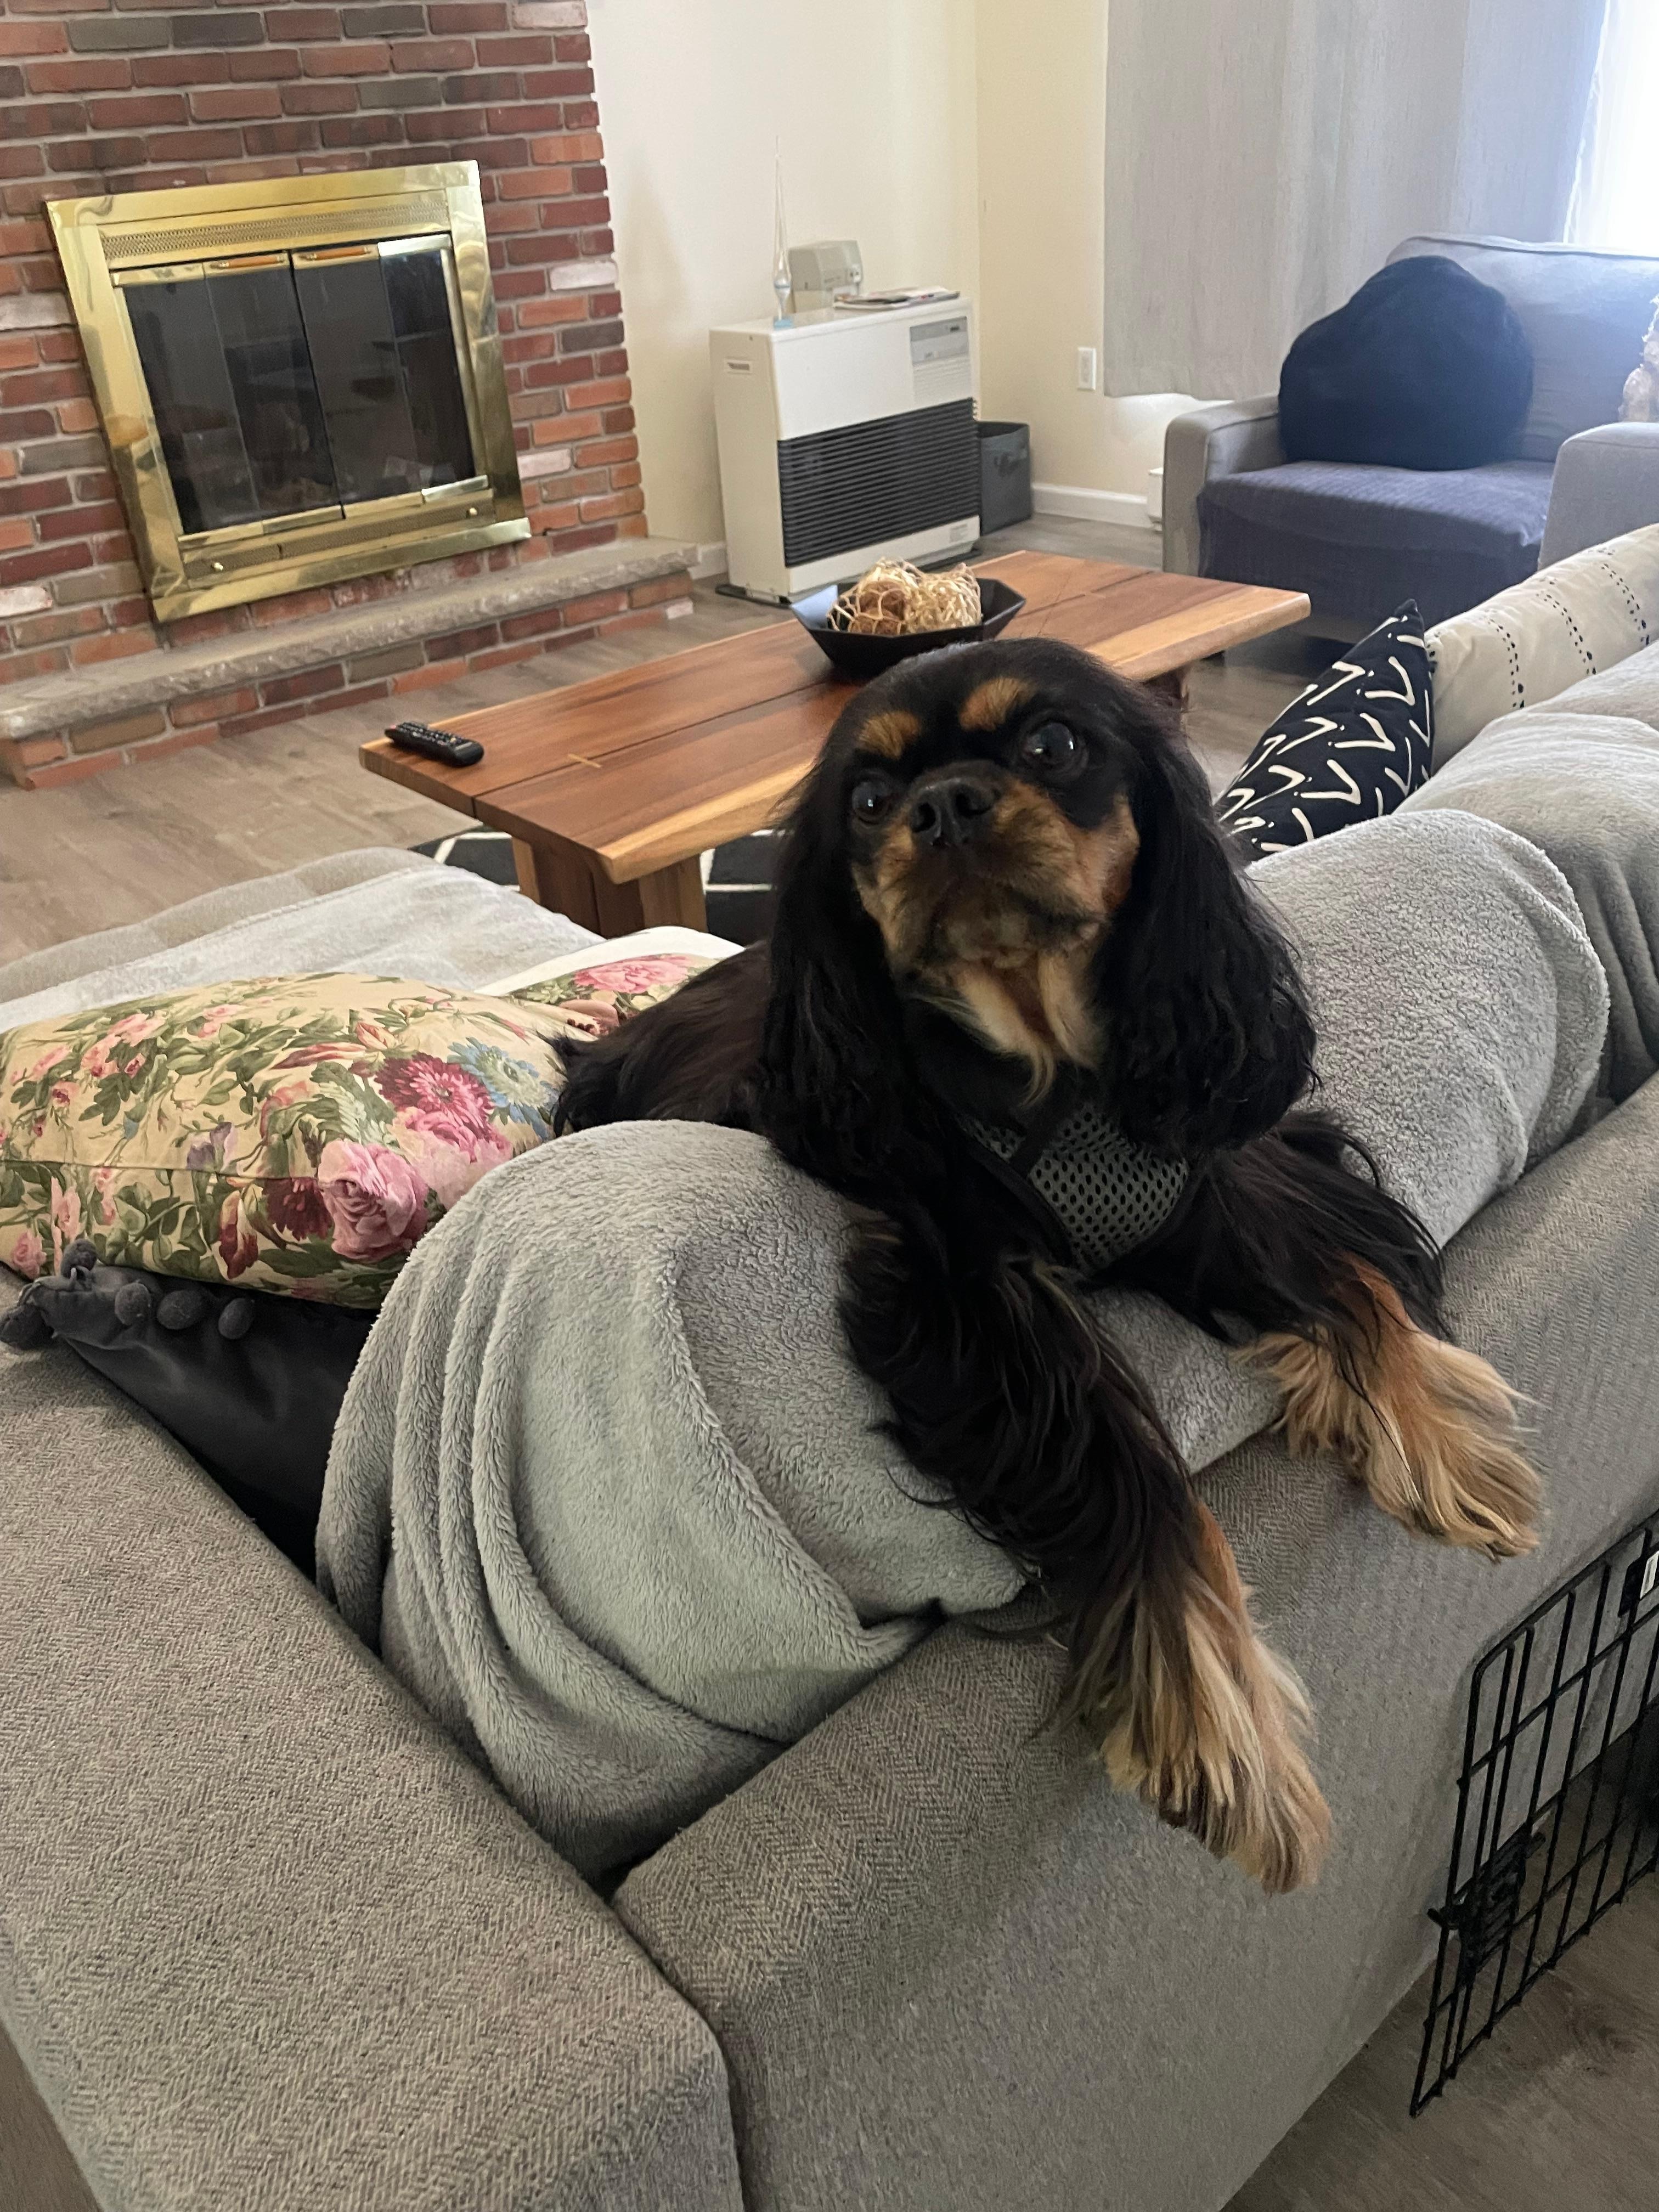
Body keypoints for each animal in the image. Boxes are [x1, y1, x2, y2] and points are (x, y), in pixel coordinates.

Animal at [556, 637, 1539, 1892]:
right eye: (867, 802)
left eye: (1052, 744)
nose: (941, 804)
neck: (1050, 1067)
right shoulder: (970, 1300)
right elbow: (1135, 1460)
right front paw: (1217, 1715)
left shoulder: (1204, 1191)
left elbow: (1355, 1286)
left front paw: (1446, 1449)